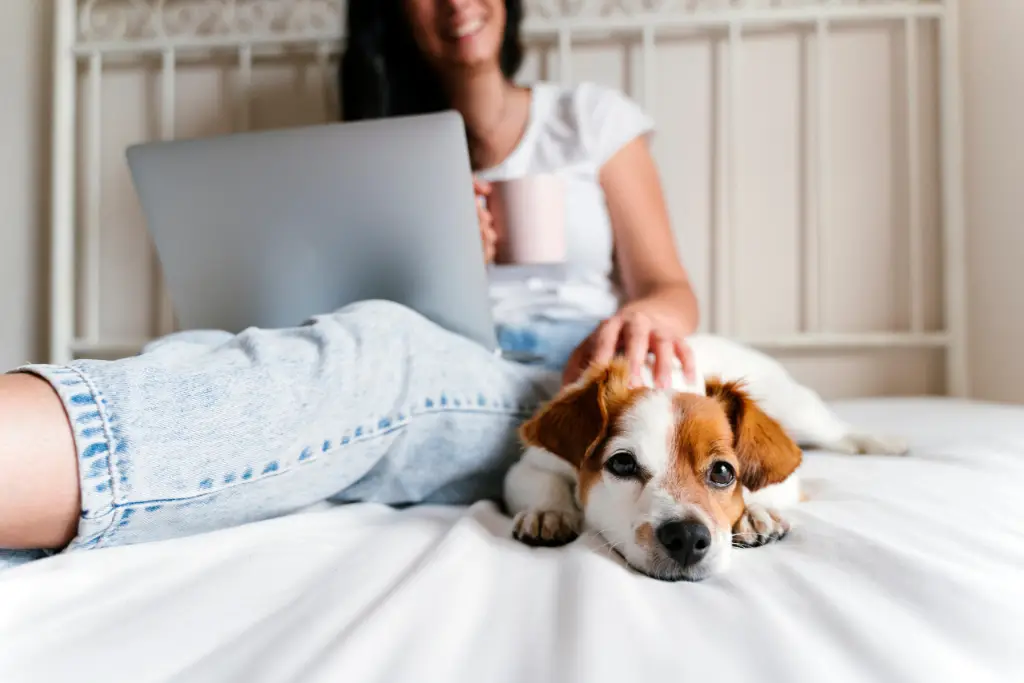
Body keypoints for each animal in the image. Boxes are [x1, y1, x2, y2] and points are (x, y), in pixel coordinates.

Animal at [499, 335, 909, 581]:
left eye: (723, 471)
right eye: (622, 463)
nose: (686, 537)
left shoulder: (788, 478)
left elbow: (764, 485)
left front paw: (754, 512)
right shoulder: (530, 466)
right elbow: (543, 482)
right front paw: (548, 512)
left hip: (799, 414)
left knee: (839, 432)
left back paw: (884, 442)